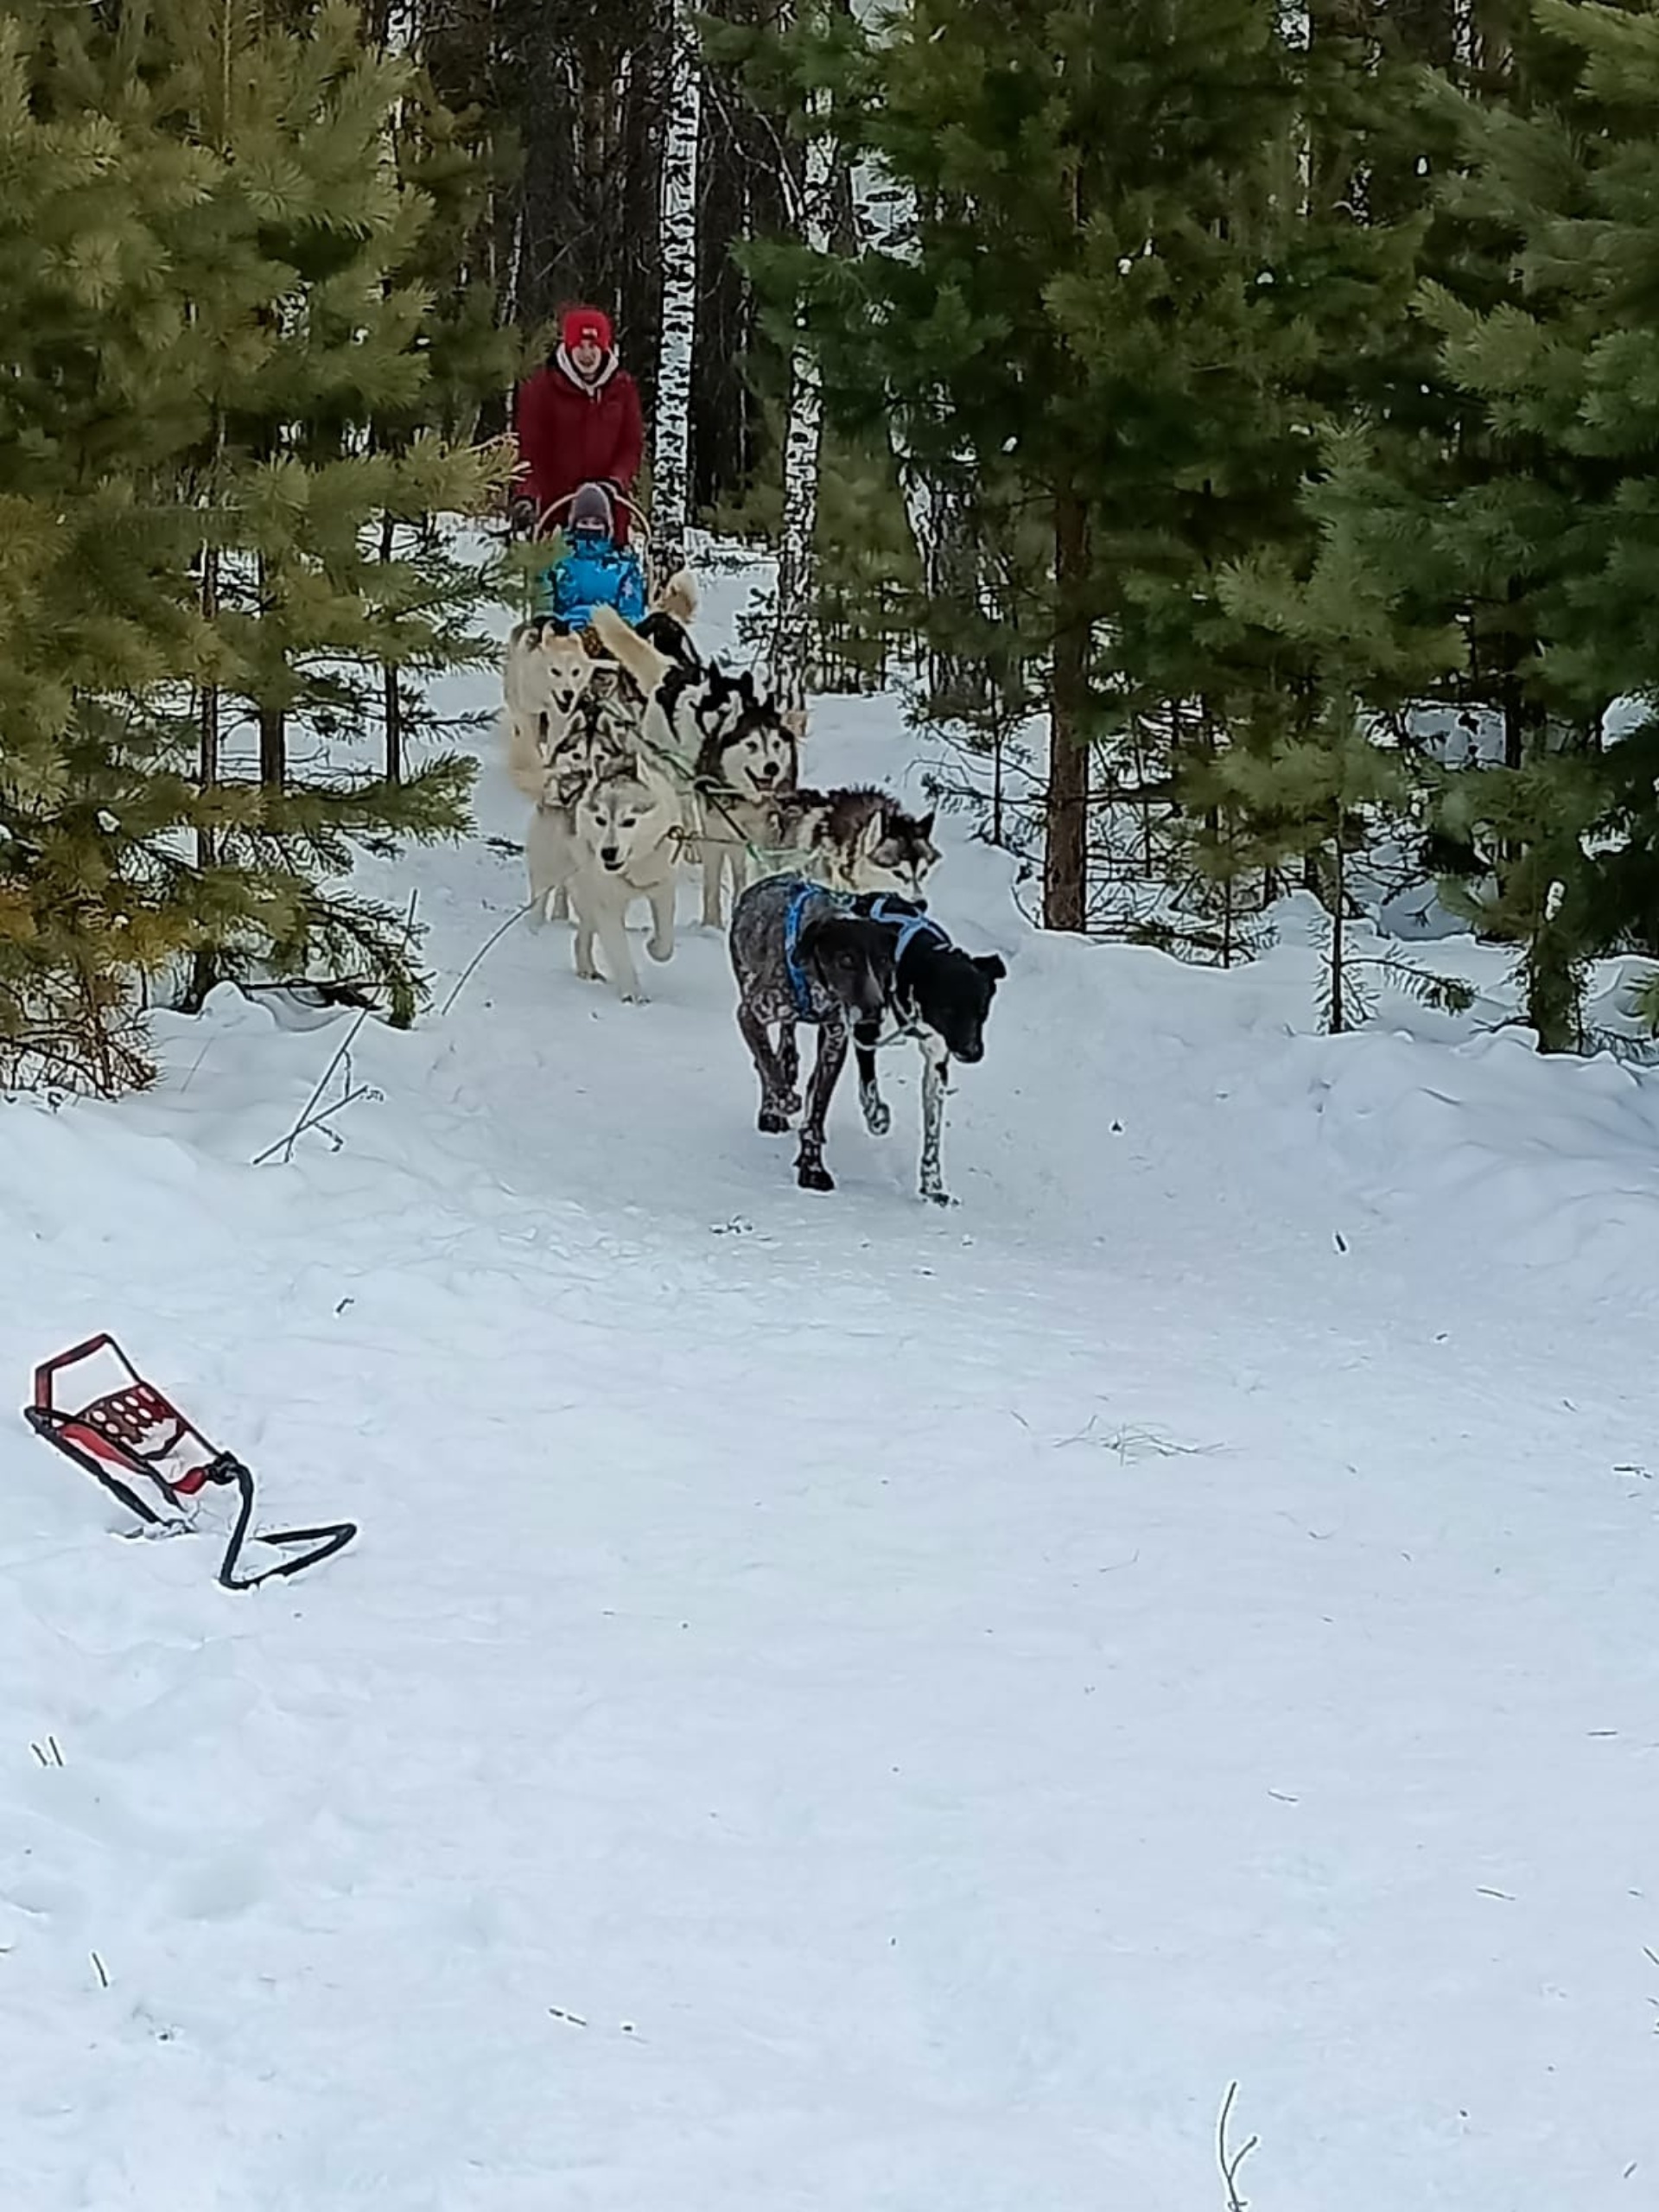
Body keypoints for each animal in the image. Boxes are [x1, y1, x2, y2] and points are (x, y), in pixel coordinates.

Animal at [729, 875, 898, 1194]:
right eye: (846, 960)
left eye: (883, 960)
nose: (874, 1012)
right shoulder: (750, 1014)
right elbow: (768, 1065)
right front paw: (782, 1101)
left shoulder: (835, 1038)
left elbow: (817, 1108)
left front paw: (812, 1166)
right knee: (768, 1060)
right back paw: (772, 1109)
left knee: (789, 1041)